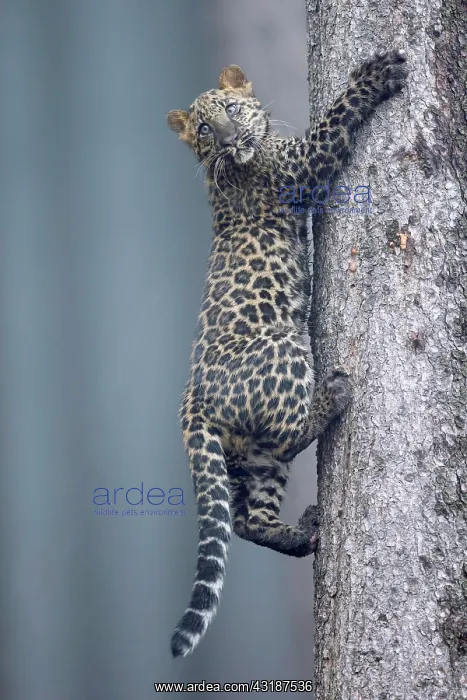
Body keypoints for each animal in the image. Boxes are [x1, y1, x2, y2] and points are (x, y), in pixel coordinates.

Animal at [167, 50, 407, 658]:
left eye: (230, 111)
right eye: (205, 129)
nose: (232, 139)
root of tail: (190, 403)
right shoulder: (304, 162)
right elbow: (336, 115)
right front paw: (378, 73)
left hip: (243, 461)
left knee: (247, 520)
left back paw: (301, 534)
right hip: (285, 350)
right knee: (290, 433)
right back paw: (335, 395)